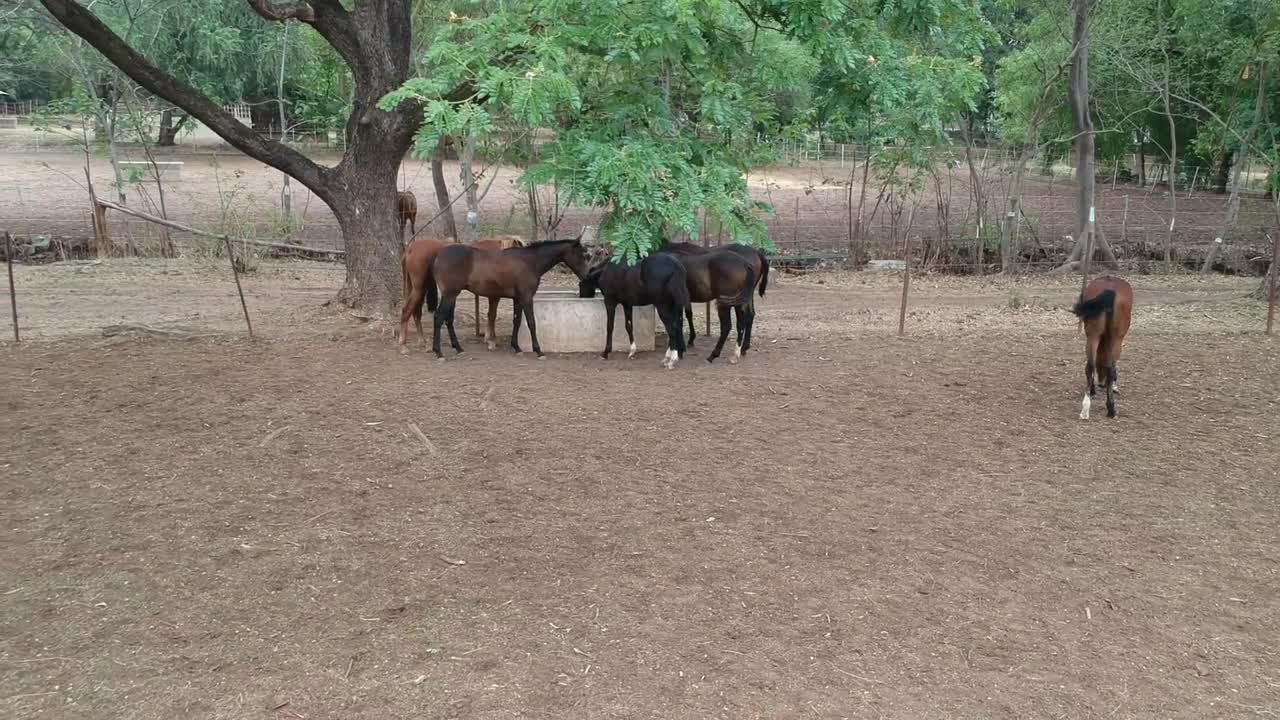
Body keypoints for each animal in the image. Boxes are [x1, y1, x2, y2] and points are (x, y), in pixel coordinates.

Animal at [429, 237, 591, 359]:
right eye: (582, 255)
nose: (587, 275)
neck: (530, 261)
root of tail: (438, 256)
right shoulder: (526, 297)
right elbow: (531, 323)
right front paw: (539, 351)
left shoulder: (517, 299)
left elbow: (517, 321)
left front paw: (517, 347)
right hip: (450, 295)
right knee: (439, 317)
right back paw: (439, 352)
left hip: (452, 296)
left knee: (448, 320)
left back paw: (458, 348)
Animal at [1073, 276, 1133, 419]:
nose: (1101, 382)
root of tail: (1109, 289)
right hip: (1116, 338)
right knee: (1110, 369)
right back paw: (1111, 409)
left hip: (1093, 335)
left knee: (1090, 366)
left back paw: (1085, 408)